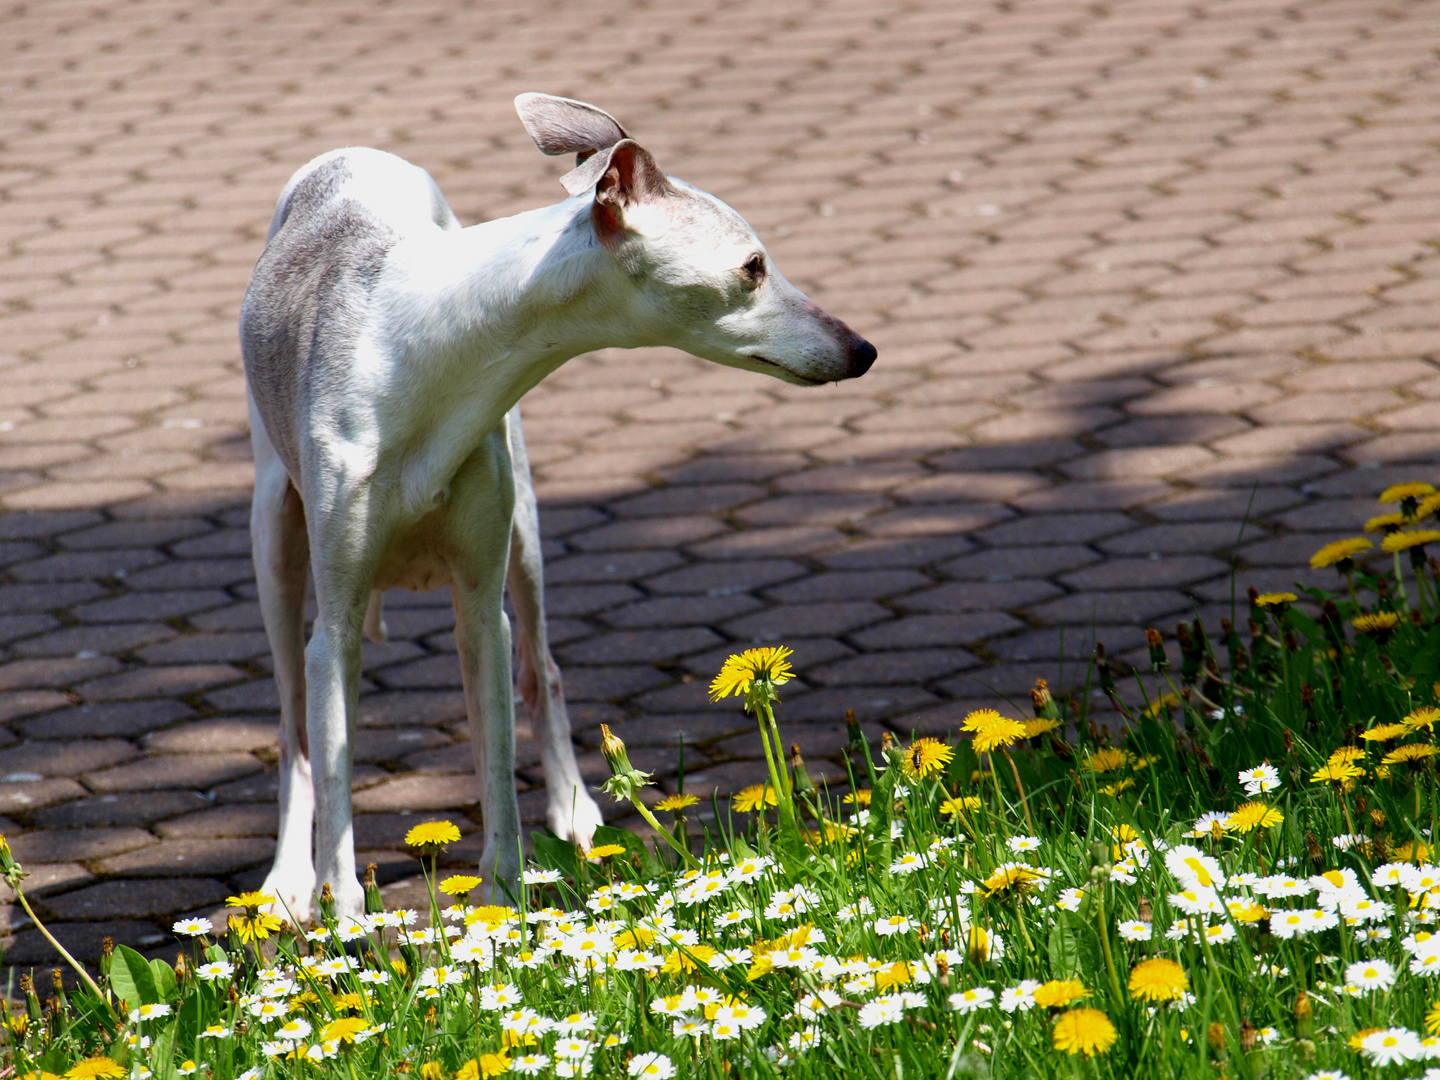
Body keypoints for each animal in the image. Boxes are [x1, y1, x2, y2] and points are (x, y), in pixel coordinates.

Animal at [240, 95, 869, 921]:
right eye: (753, 266)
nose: (863, 350)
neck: (426, 348)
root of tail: (352, 153)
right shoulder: (336, 620)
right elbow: (333, 762)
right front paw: (344, 915)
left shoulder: (483, 606)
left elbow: (501, 759)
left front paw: (507, 898)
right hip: (276, 542)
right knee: (293, 724)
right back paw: (287, 879)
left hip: (525, 533)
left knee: (542, 673)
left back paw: (572, 807)